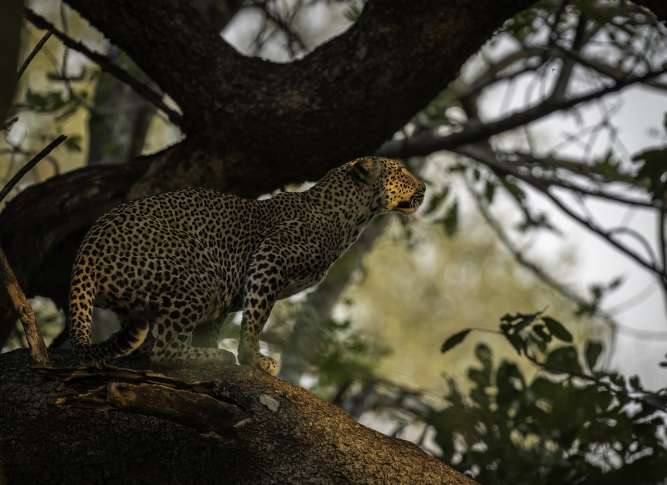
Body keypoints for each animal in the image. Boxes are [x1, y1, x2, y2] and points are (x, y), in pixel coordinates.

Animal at [68, 156, 425, 375]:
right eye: (401, 172)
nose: (424, 187)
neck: (351, 218)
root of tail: (88, 247)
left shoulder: (235, 290)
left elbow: (217, 325)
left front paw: (220, 346)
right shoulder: (270, 257)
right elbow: (257, 316)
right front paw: (252, 357)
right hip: (200, 279)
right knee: (164, 349)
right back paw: (215, 358)